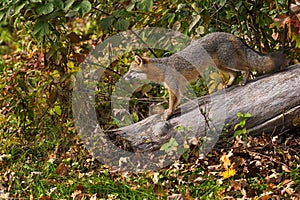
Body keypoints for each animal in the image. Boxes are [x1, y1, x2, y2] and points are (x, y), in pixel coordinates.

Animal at [122, 31, 288, 119]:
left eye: (131, 71)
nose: (123, 77)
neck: (162, 68)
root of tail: (231, 34)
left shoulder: (173, 87)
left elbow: (172, 102)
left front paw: (168, 113)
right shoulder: (180, 86)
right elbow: (178, 101)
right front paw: (173, 110)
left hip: (228, 62)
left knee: (246, 68)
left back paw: (244, 81)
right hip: (221, 66)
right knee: (235, 74)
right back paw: (229, 84)